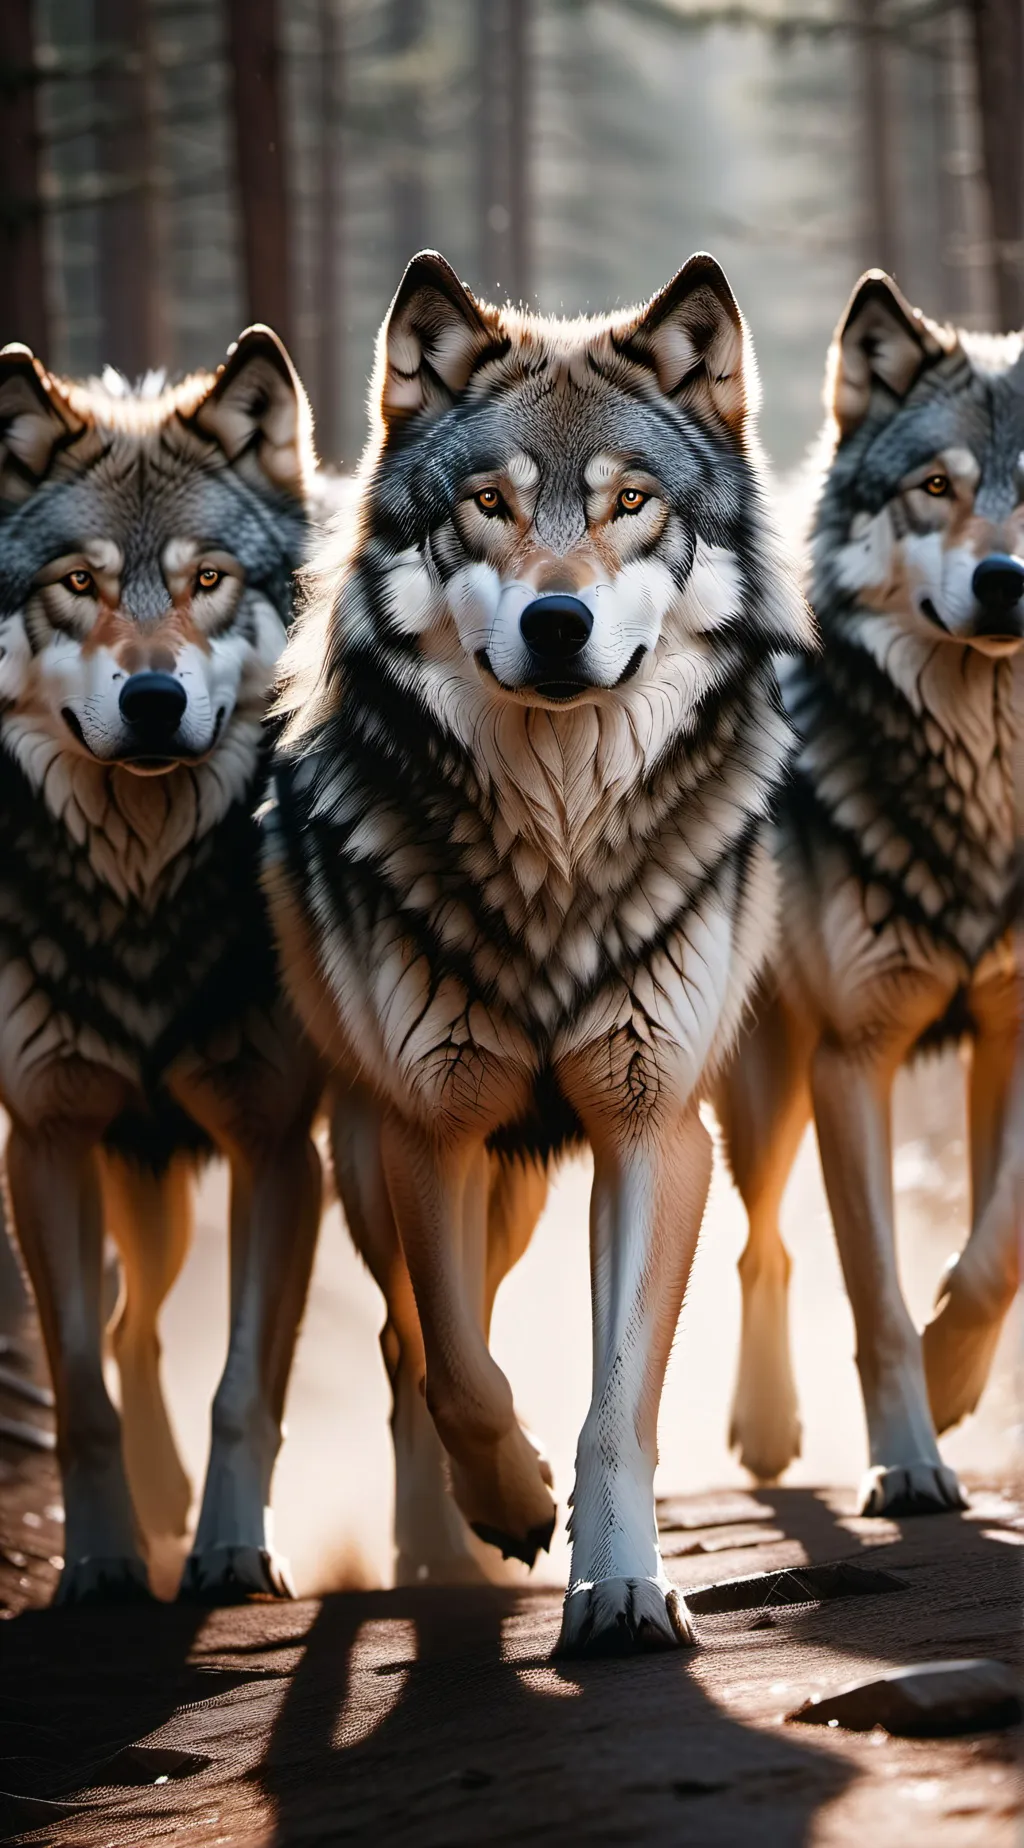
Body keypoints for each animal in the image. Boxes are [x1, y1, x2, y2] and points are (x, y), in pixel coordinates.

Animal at [0, 330, 322, 1602]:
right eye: (77, 585)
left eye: (208, 580)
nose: (151, 697)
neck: (140, 895)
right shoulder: (43, 1140)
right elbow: (80, 1392)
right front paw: (97, 1563)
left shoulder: (278, 1147)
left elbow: (245, 1388)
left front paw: (233, 1552)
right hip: (127, 1179)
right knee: (124, 1331)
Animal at [267, 249, 811, 1653]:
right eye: (488, 505)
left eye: (628, 502)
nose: (558, 622)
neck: (559, 843)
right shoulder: (428, 1129)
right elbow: (458, 1372)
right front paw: (508, 1501)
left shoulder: (654, 1130)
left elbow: (618, 1403)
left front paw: (619, 1589)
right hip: (376, 1160)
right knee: (407, 1351)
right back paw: (434, 1547)